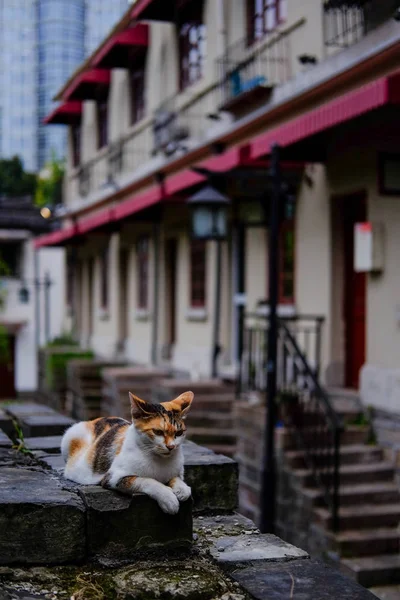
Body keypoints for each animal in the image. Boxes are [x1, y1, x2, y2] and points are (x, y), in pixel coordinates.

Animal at [61, 392, 194, 512]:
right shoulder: (113, 477)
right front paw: (168, 499)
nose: (171, 446)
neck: (159, 459)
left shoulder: (177, 471)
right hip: (69, 437)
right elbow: (145, 480)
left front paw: (182, 489)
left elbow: (176, 477)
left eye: (179, 433)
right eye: (158, 432)